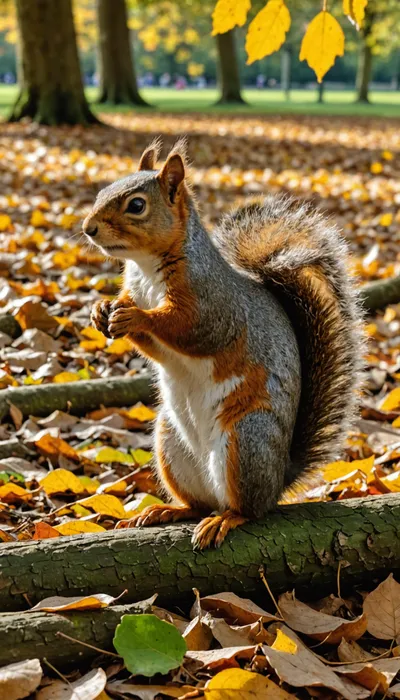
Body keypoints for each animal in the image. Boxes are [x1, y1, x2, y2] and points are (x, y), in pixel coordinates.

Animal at [83, 138, 364, 550]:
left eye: (136, 205)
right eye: (102, 191)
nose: (88, 228)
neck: (147, 269)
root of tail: (279, 479)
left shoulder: (214, 305)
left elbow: (192, 330)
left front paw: (136, 317)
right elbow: (154, 346)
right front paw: (101, 310)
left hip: (245, 442)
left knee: (246, 508)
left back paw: (225, 520)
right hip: (170, 443)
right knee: (199, 503)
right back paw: (167, 511)